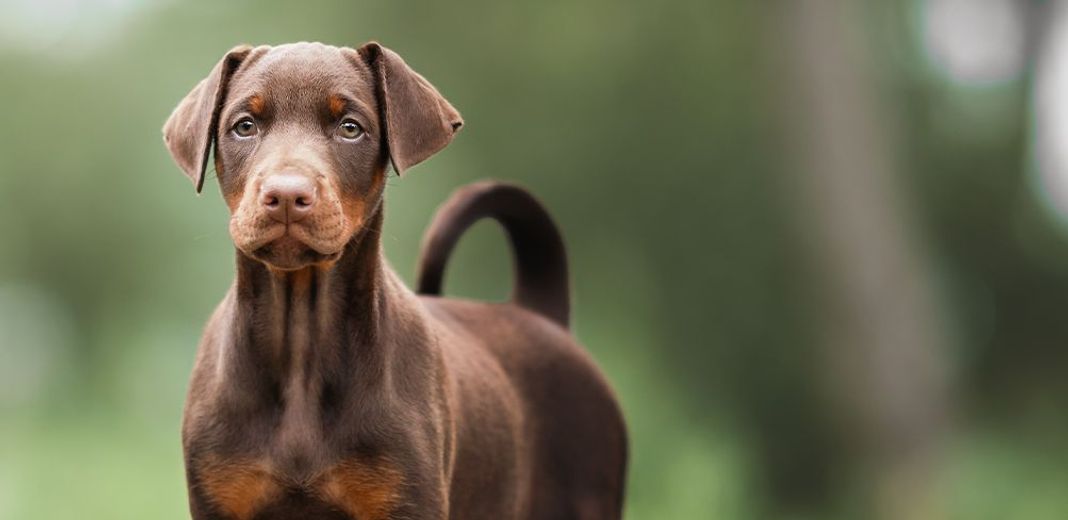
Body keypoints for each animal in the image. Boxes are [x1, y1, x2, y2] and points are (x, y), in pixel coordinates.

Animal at [159, 41, 623, 520]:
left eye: (350, 128)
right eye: (244, 126)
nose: (286, 195)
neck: (301, 345)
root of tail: (538, 313)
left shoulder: (406, 498)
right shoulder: (219, 499)